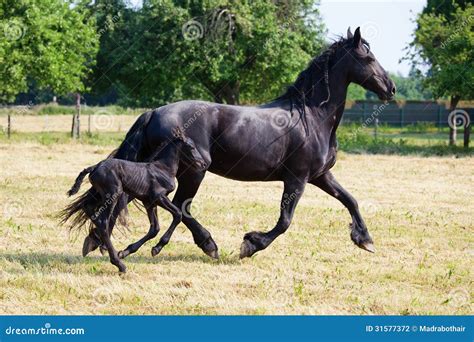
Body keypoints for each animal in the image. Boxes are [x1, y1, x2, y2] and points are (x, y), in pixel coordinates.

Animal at [66, 128, 206, 272]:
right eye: (191, 147)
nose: (203, 164)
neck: (163, 168)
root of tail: (94, 167)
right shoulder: (159, 197)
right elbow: (178, 214)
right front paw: (157, 248)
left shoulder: (149, 202)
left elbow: (154, 228)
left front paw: (125, 252)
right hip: (113, 194)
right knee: (103, 223)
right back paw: (119, 264)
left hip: (100, 195)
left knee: (88, 209)